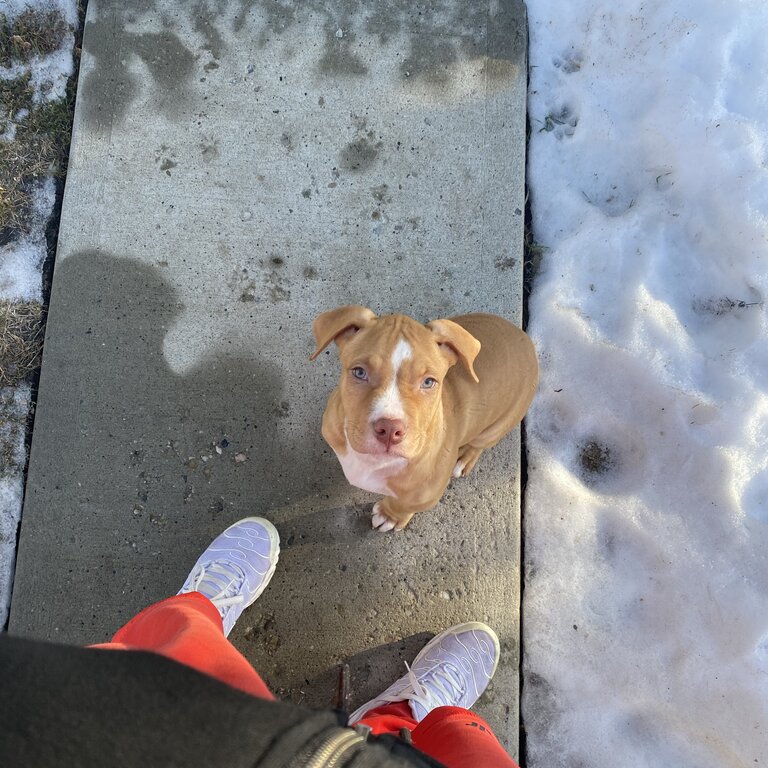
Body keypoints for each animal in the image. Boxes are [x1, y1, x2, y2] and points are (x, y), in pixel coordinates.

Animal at [308, 304, 536, 532]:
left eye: (428, 382)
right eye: (359, 372)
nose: (389, 429)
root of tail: (524, 338)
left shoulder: (426, 494)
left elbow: (403, 504)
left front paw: (390, 515)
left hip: (499, 424)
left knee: (479, 443)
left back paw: (463, 457)